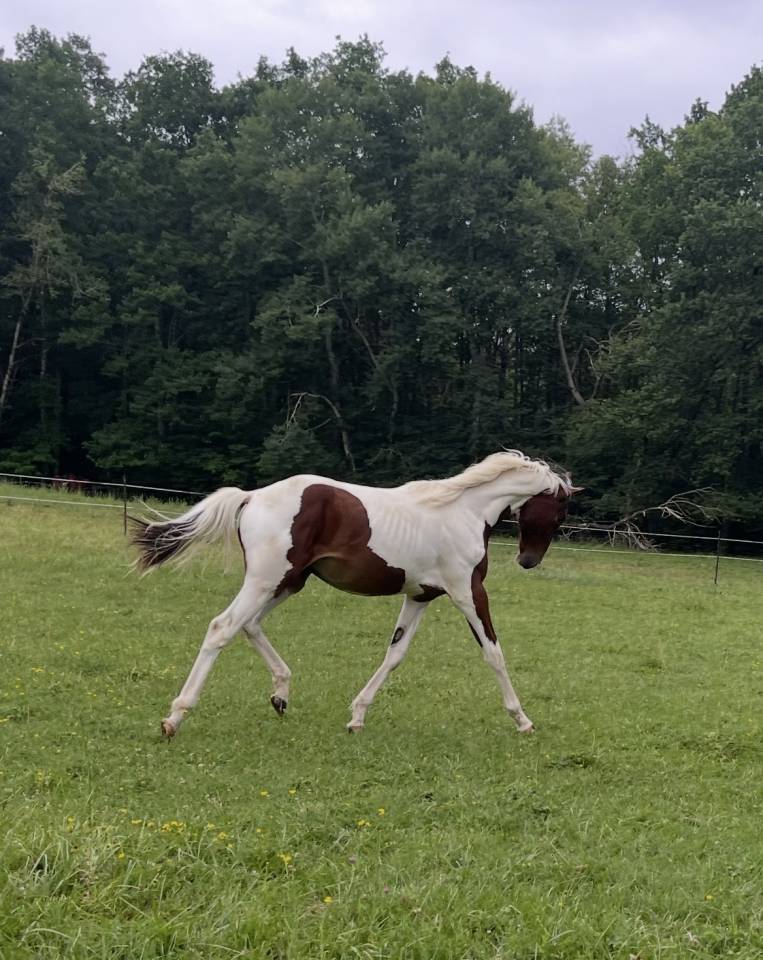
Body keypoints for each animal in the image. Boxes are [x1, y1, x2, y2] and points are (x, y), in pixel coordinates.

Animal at [130, 451, 581, 738]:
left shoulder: (420, 596)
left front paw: (357, 717)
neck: (463, 512)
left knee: (251, 625)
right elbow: (494, 653)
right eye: (559, 512)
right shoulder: (467, 592)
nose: (528, 560)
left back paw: (281, 695)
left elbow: (395, 654)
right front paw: (522, 720)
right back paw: (175, 717)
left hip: (288, 581)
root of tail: (252, 496)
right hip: (265, 579)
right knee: (223, 627)